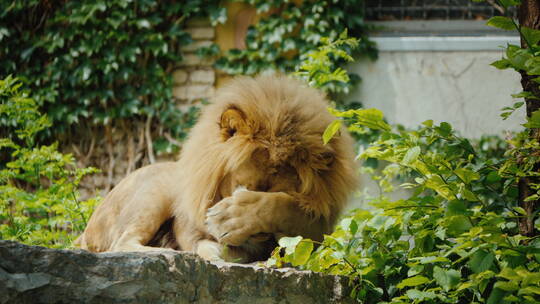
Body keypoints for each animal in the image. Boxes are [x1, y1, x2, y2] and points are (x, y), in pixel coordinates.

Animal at [78, 75, 358, 262]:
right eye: (241, 186)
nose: (258, 235)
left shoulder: (318, 229)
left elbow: (286, 208)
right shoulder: (186, 225)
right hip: (156, 190)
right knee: (121, 242)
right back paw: (168, 251)